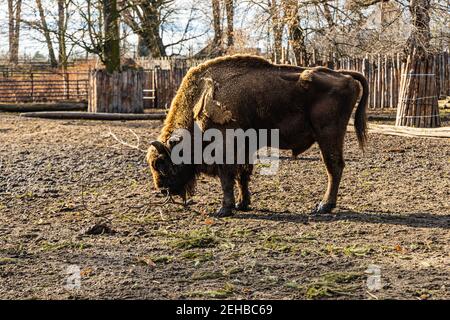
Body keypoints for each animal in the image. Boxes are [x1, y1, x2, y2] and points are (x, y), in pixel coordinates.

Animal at [148, 54, 370, 218]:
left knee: (334, 167)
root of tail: (344, 76)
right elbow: (243, 175)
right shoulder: (246, 148)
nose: (162, 189)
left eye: (162, 163)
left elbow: (227, 178)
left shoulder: (225, 150)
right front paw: (242, 204)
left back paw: (323, 206)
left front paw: (224, 209)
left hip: (328, 135)